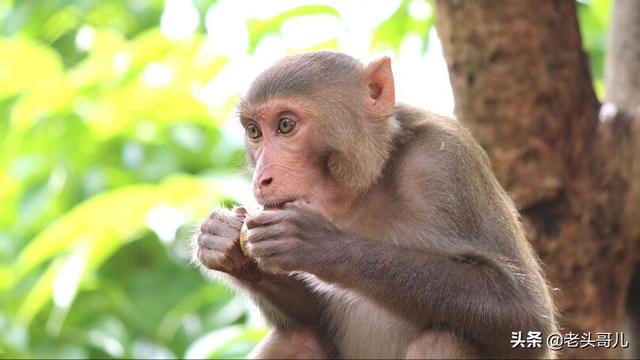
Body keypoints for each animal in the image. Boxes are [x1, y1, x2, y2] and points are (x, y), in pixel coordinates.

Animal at [194, 51, 556, 360]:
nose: (261, 179)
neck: (368, 183)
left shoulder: (446, 162)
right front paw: (225, 244)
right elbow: (315, 318)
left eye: (285, 125)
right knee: (297, 336)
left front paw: (320, 245)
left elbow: (525, 314)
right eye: (254, 131)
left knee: (444, 337)